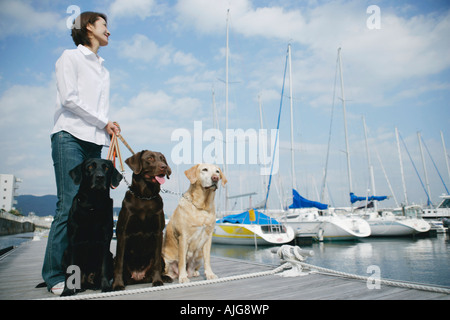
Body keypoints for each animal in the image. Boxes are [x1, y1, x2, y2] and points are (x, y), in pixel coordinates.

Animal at [61, 159, 122, 296]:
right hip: (65, 254)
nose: (100, 177)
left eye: (106, 168)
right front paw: (67, 290)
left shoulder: (105, 241)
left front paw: (106, 287)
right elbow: (70, 271)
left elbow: (104, 268)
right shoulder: (73, 241)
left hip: (111, 256)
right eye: (89, 167)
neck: (92, 206)